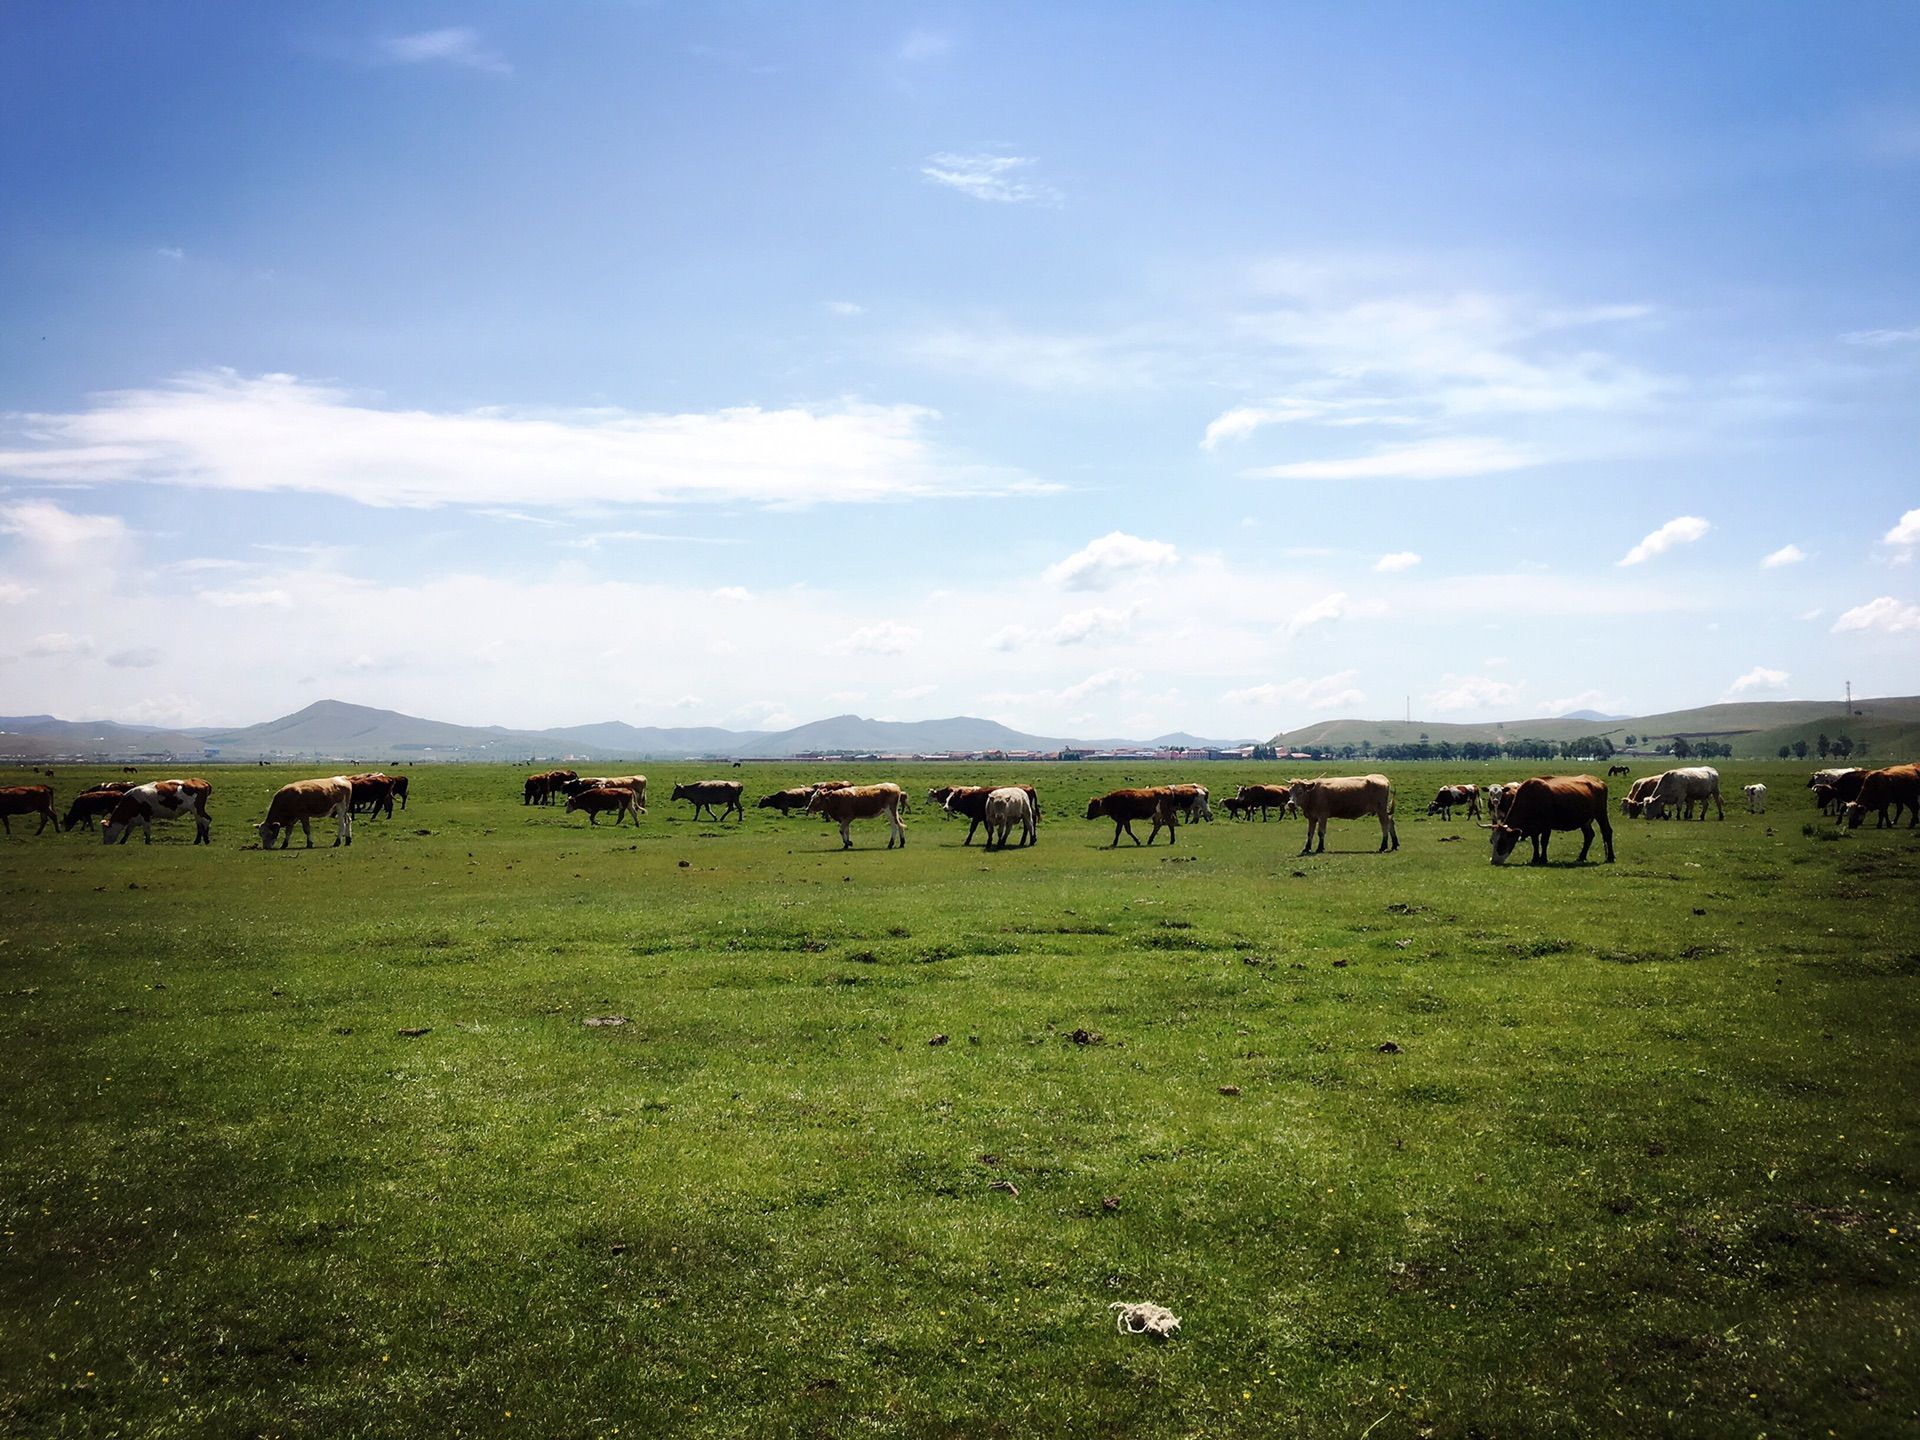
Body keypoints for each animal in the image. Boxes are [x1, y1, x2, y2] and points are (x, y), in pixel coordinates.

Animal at [1474, 779, 1612, 867]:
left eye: (1502, 842)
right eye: (1491, 841)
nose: (1493, 861)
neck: (1532, 798)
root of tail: (1599, 782)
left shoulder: (1547, 826)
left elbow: (1543, 842)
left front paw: (1543, 859)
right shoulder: (1533, 828)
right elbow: (1535, 842)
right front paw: (1535, 858)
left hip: (1601, 814)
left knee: (1607, 831)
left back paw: (1610, 857)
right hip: (1585, 821)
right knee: (1589, 835)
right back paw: (1581, 857)